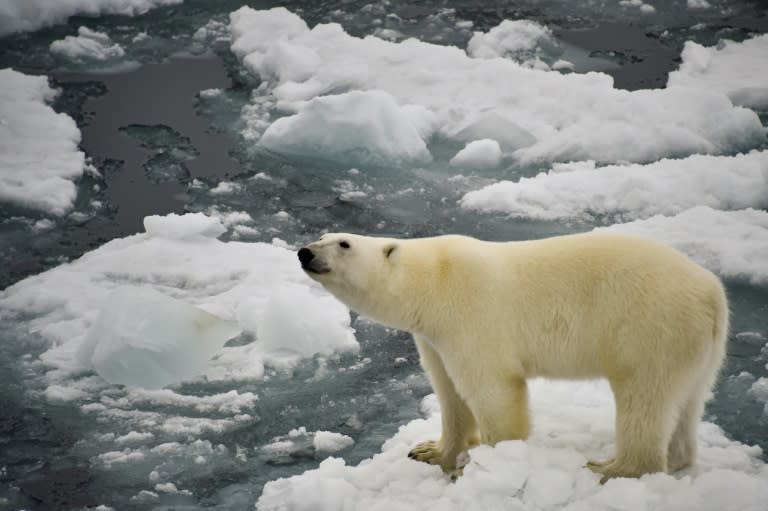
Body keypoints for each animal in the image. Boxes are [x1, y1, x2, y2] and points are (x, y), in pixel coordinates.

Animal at [296, 234, 728, 482]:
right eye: (321, 236)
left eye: (344, 243)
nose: (304, 252)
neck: (433, 280)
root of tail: (712, 292)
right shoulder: (434, 336)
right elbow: (448, 391)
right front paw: (432, 451)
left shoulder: (471, 312)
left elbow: (491, 390)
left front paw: (488, 464)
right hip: (699, 347)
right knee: (687, 399)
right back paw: (676, 459)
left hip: (650, 327)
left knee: (645, 397)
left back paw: (615, 469)